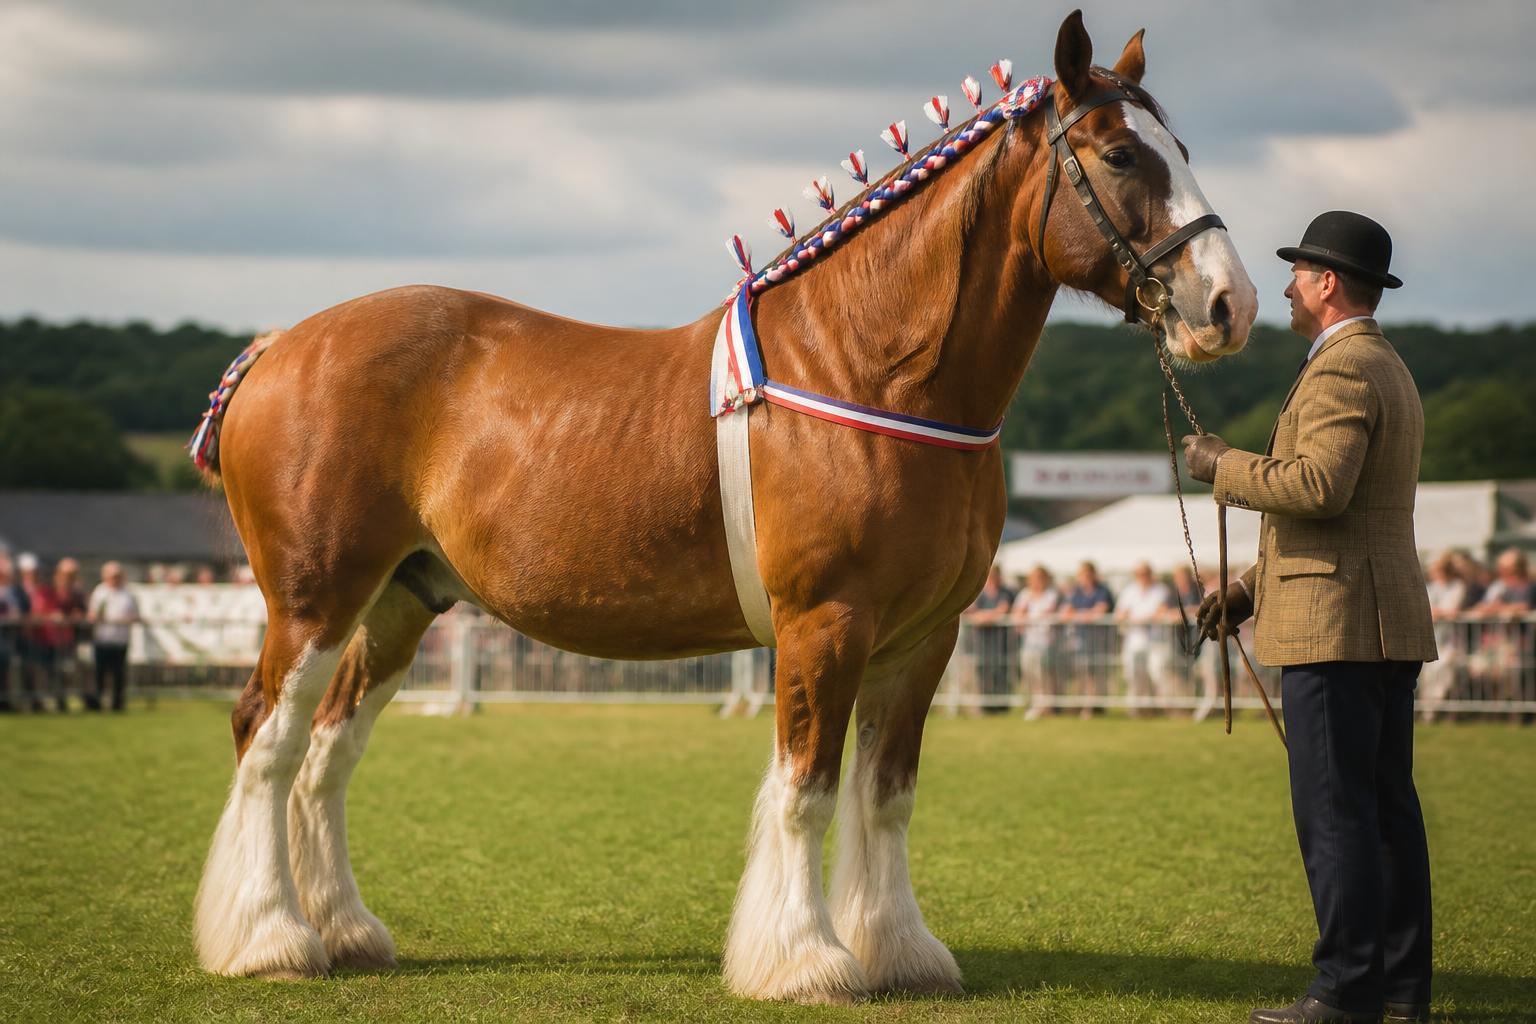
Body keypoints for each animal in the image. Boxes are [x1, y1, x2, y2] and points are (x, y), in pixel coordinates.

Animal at [191, 11, 1257, 1005]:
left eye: (1183, 148)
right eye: (1120, 154)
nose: (1229, 307)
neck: (869, 369)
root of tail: (278, 346)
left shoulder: (925, 637)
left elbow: (886, 795)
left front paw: (900, 952)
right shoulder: (824, 624)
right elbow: (807, 791)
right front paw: (806, 960)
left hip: (398, 603)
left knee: (327, 753)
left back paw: (342, 932)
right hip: (315, 601)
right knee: (267, 738)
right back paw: (269, 939)